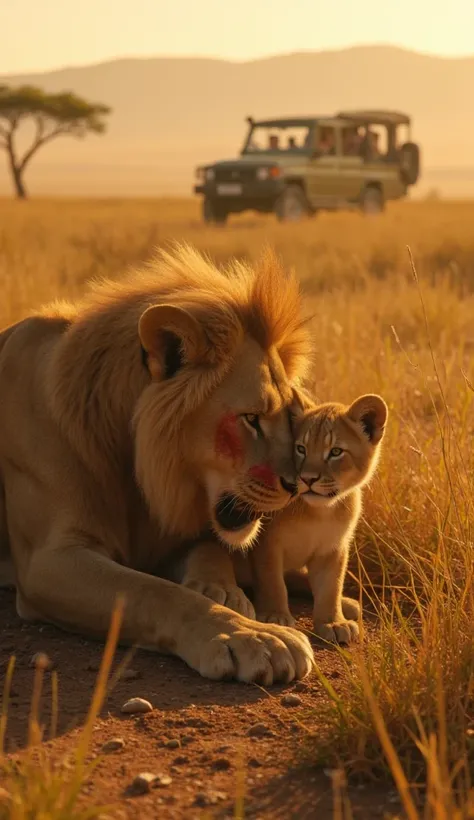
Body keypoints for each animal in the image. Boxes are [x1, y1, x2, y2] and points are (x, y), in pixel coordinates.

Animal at [0, 243, 316, 684]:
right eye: (252, 419)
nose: (296, 486)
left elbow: (209, 550)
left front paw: (223, 591)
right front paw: (251, 636)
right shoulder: (47, 560)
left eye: (290, 417)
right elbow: (152, 592)